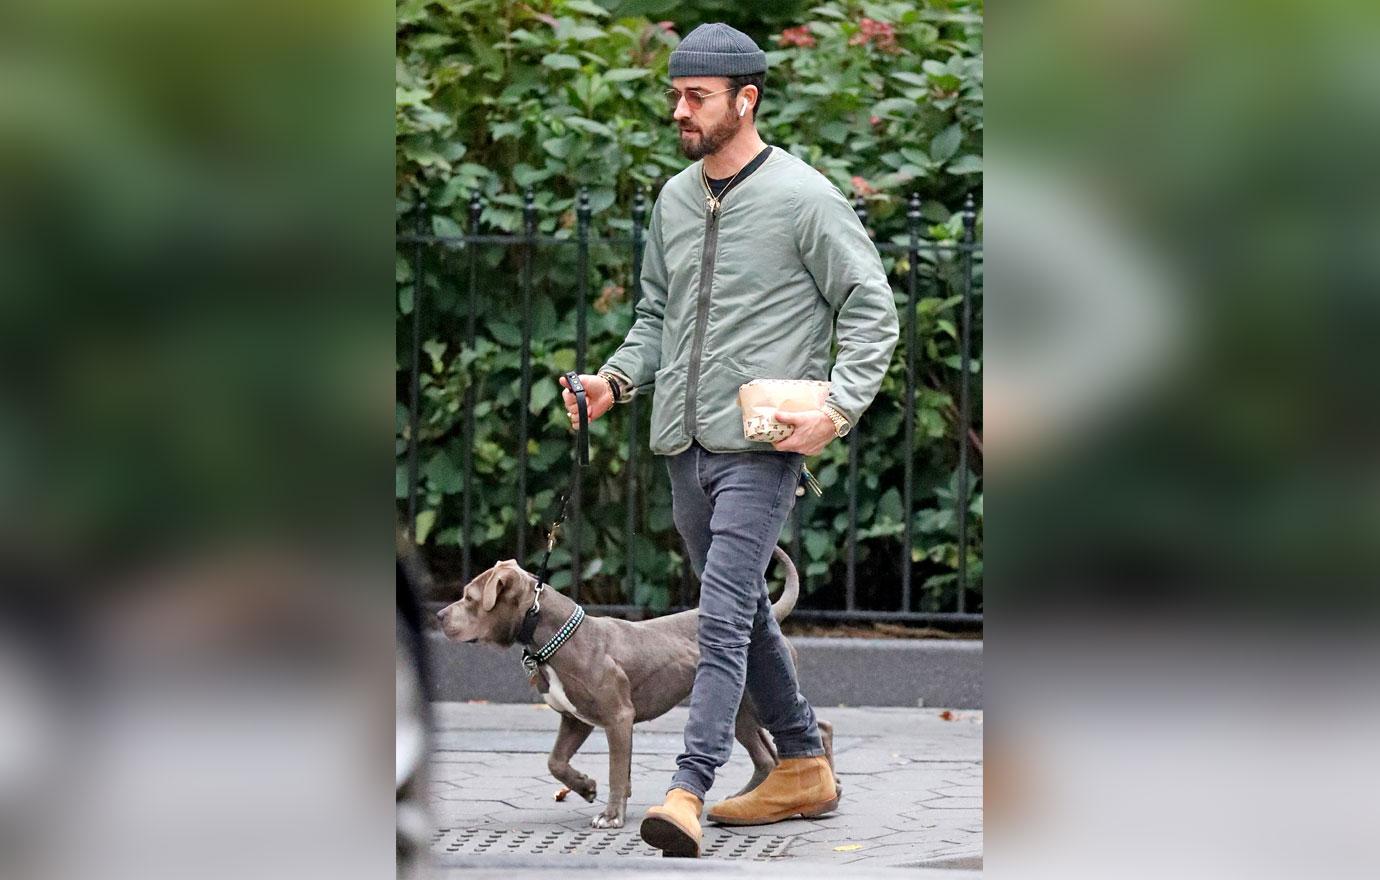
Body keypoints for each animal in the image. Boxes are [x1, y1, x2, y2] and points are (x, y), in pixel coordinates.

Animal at [436, 548, 833, 833]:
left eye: (469, 598)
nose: (439, 615)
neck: (554, 636)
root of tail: (772, 619)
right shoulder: (576, 719)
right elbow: (556, 761)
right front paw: (585, 786)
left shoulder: (618, 717)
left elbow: (616, 769)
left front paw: (611, 816)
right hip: (740, 712)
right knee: (768, 755)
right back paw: (746, 801)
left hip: (756, 703)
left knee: (816, 727)